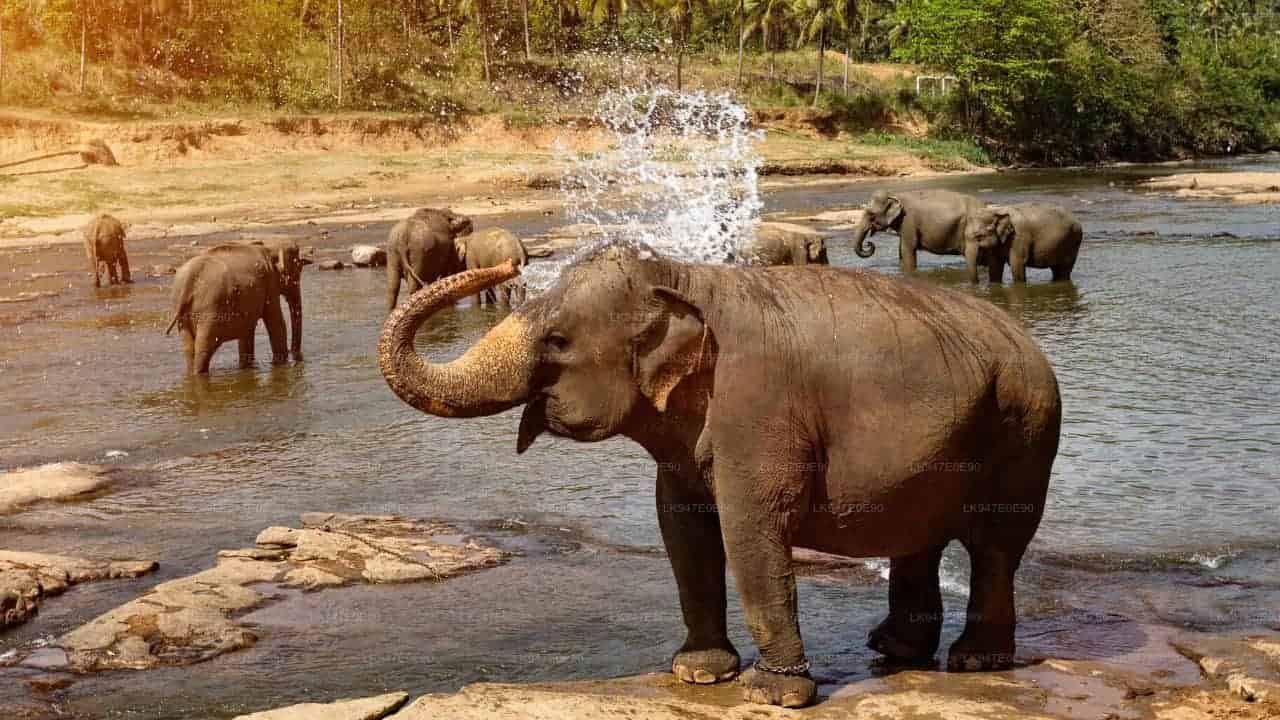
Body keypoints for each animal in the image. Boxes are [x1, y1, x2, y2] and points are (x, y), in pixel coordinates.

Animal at [166, 240, 309, 374]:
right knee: (204, 347)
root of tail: (189, 279)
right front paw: (280, 364)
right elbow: (276, 322)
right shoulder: (270, 282)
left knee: (189, 348)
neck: (268, 247)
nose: (296, 357)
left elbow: (247, 331)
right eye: (297, 272)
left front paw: (248, 367)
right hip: (210, 309)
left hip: (181, 310)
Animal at [377, 243, 1061, 708]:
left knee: (996, 546)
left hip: (1024, 431)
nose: (506, 266)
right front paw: (700, 674)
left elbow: (750, 528)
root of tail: (1028, 341)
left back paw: (974, 662)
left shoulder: (758, 409)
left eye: (557, 340)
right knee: (919, 539)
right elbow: (682, 530)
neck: (682, 276)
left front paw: (772, 696)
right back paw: (893, 649)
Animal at [850, 190, 987, 276]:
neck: (895, 194)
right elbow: (901, 251)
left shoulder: (908, 221)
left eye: (871, 214)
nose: (869, 243)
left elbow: (907, 249)